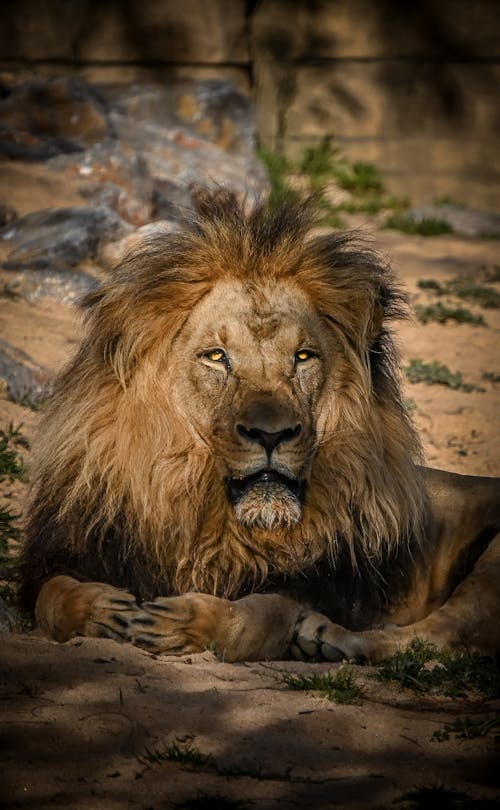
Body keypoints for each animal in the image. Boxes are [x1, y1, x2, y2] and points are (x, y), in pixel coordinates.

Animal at [21, 193, 500, 660]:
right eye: (217, 357)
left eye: (303, 357)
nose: (272, 435)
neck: (205, 508)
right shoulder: (64, 553)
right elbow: (53, 596)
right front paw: (102, 612)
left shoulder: (318, 586)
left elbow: (258, 616)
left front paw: (183, 623)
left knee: (442, 634)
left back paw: (331, 640)